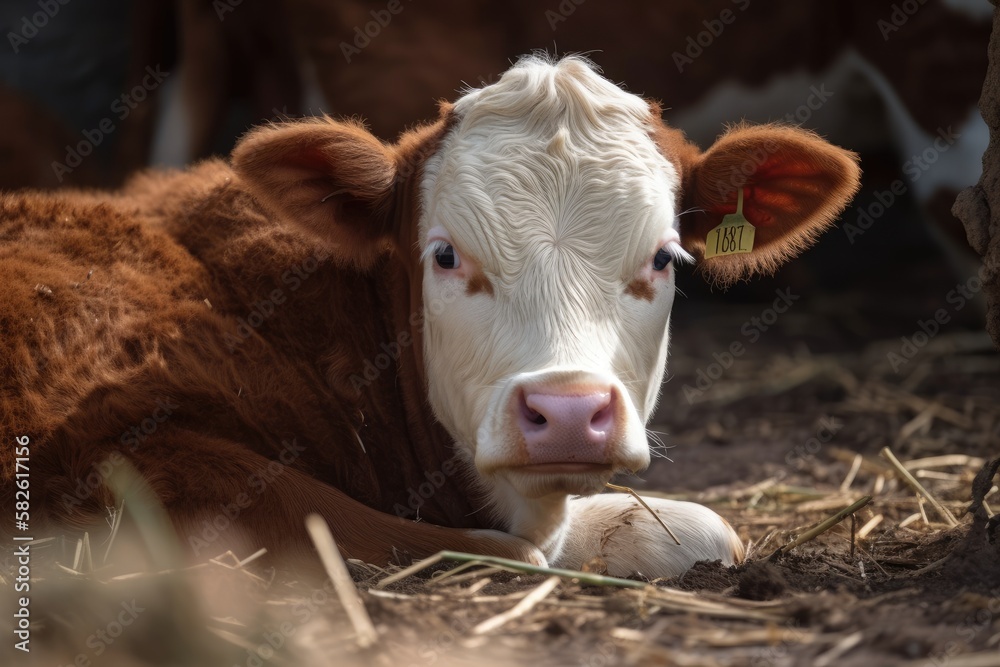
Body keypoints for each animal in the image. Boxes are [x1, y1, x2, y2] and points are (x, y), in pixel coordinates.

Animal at [0, 57, 860, 576]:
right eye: (444, 255)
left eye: (664, 258)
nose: (569, 411)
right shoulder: (120, 451)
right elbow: (513, 548)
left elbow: (691, 529)